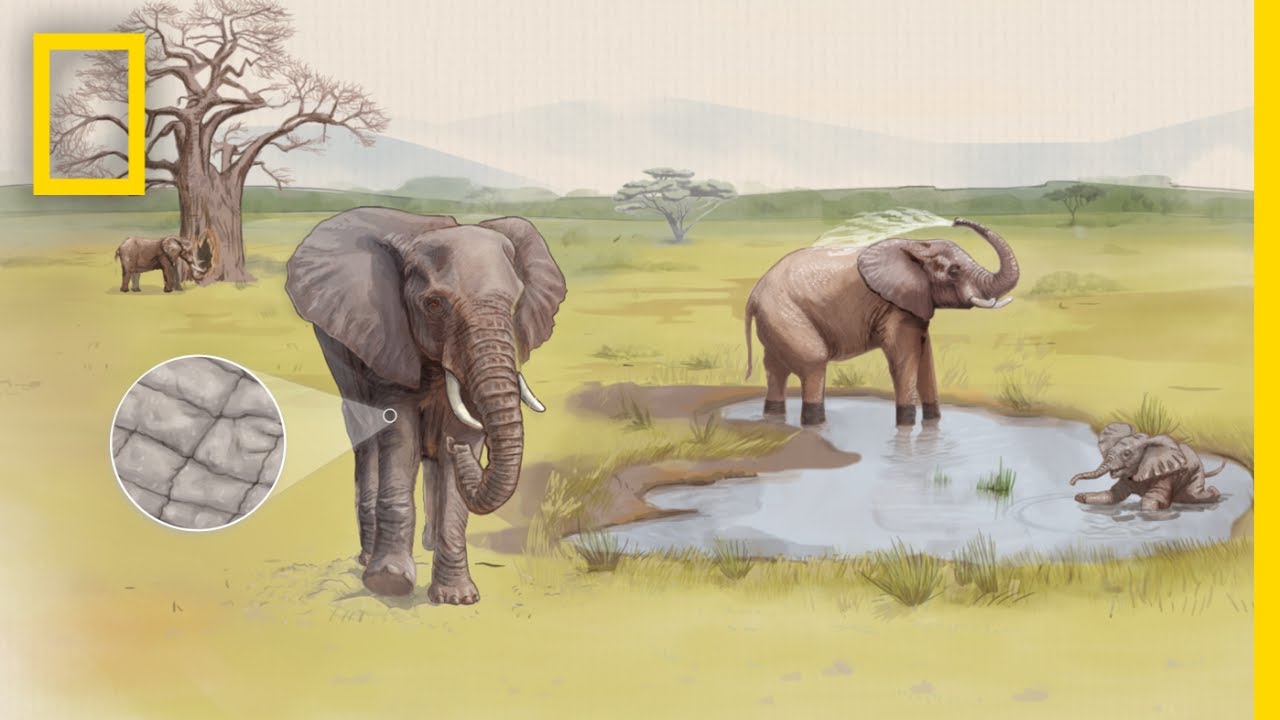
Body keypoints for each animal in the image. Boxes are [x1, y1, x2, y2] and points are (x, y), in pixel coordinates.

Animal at [284, 208, 566, 603]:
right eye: (434, 304)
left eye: (515, 304)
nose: (462, 452)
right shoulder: (386, 335)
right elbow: (399, 431)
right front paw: (389, 582)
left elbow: (461, 436)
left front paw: (456, 597)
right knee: (366, 442)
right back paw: (367, 557)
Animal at [743, 217, 1019, 427]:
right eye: (954, 271)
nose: (956, 220)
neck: (916, 246)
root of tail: (754, 295)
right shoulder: (895, 308)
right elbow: (904, 360)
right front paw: (905, 425)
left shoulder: (915, 306)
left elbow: (925, 358)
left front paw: (932, 423)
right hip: (785, 315)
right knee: (814, 363)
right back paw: (814, 424)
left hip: (775, 321)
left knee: (776, 369)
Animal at [1070, 422, 1225, 510]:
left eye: (1127, 454)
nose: (1072, 483)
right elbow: (1113, 495)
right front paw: (1080, 497)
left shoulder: (1165, 474)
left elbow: (1151, 500)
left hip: (1196, 472)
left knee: (1195, 494)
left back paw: (1213, 492)